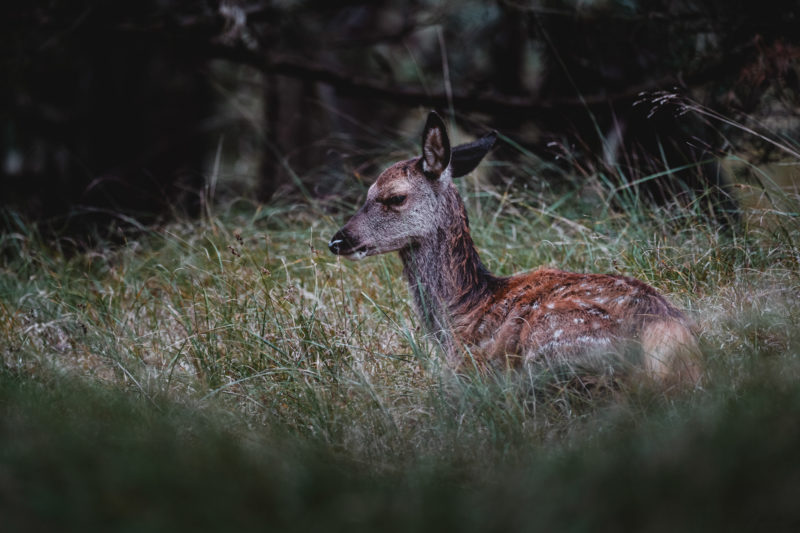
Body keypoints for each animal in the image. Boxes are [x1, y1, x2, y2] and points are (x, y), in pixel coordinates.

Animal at [328, 112, 704, 382]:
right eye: (366, 193)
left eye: (395, 197)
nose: (337, 240)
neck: (458, 313)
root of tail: (664, 331)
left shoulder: (465, 370)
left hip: (556, 346)